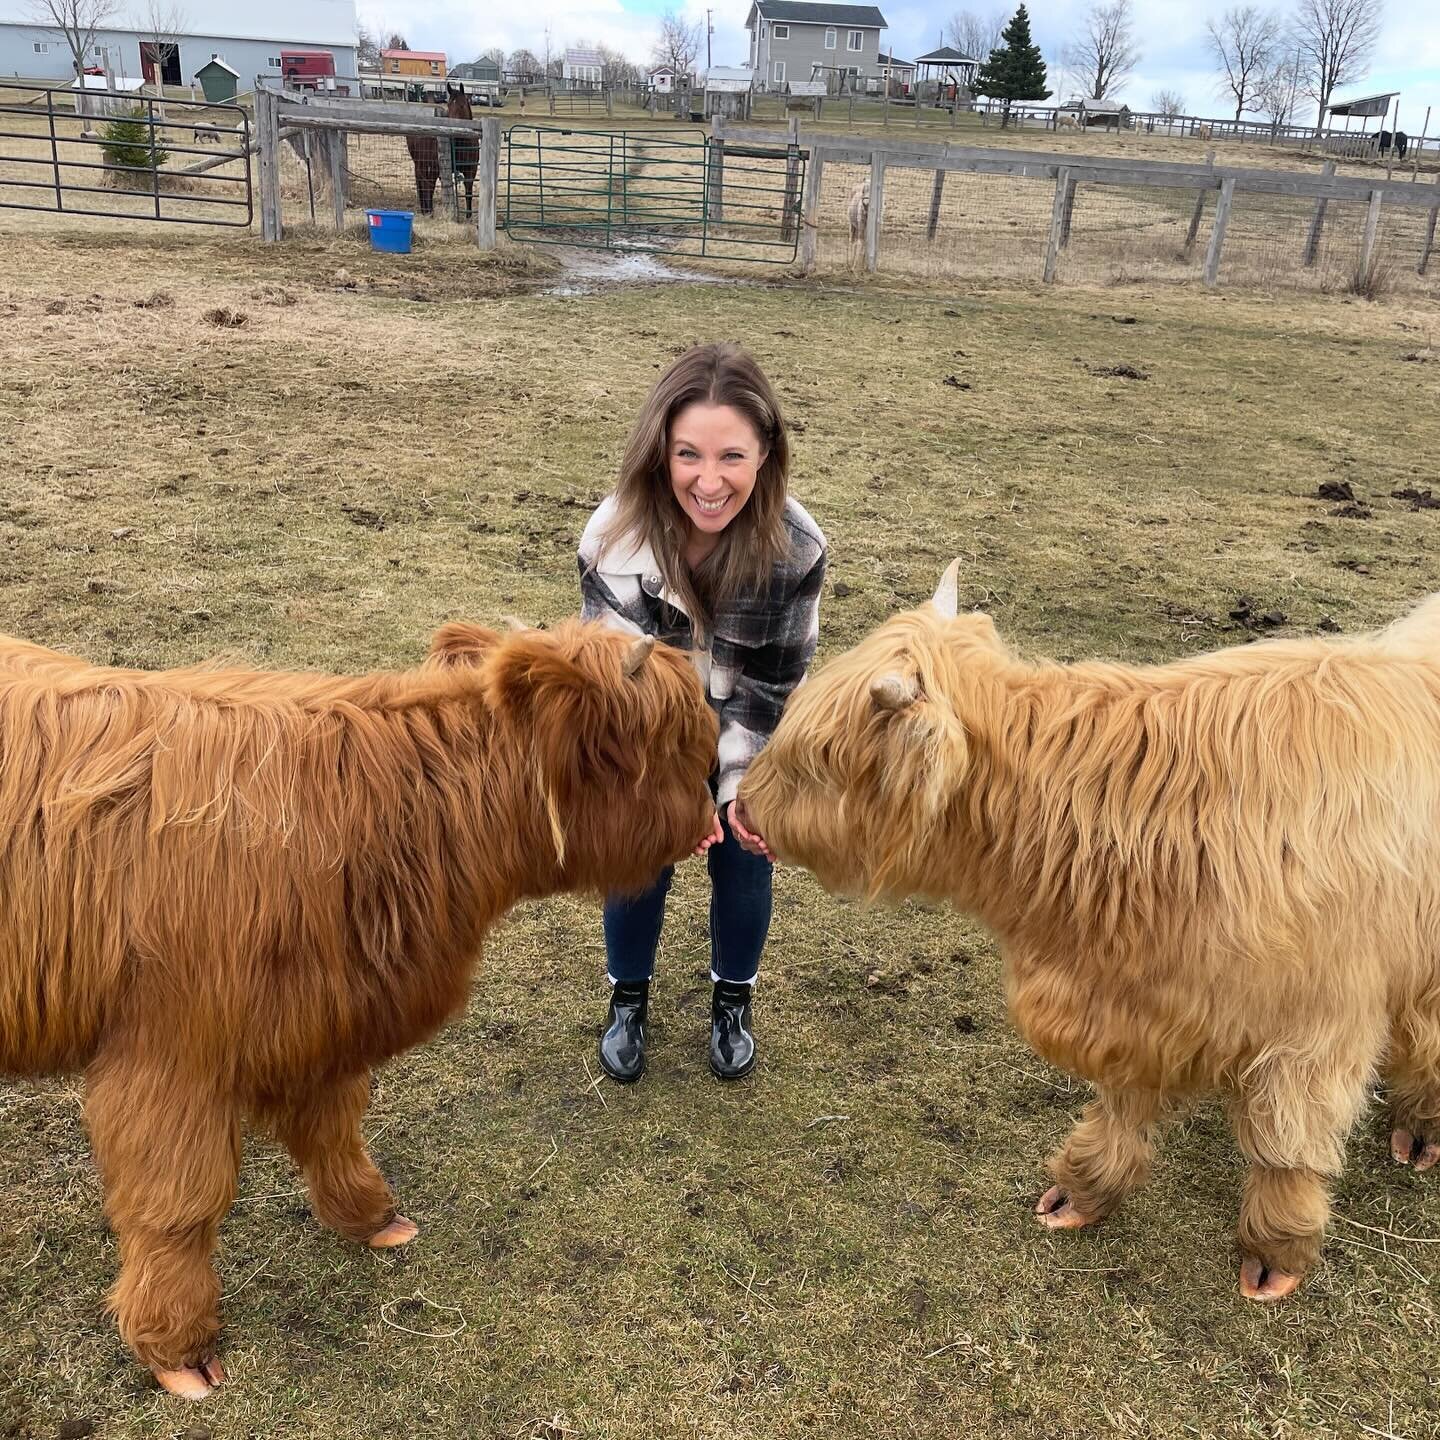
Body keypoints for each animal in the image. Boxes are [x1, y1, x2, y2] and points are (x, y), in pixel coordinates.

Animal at [0, 619, 717, 1393]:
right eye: (673, 744)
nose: (713, 820)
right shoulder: (172, 1053)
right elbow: (178, 1201)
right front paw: (177, 1350)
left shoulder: (318, 1022)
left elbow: (332, 1128)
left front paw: (373, 1218)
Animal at [406, 84, 478, 217]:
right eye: (449, 105)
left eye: (462, 105)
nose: (452, 129)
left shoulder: (471, 170)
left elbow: (468, 192)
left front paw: (469, 216)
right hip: (426, 165)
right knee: (427, 187)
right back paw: (428, 212)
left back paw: (425, 210)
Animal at [743, 561, 1440, 1307]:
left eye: (818, 759)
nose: (739, 807)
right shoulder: (1143, 1008)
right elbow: (1122, 1106)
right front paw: (1082, 1190)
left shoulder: (1314, 1031)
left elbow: (1288, 1146)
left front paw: (1275, 1252)